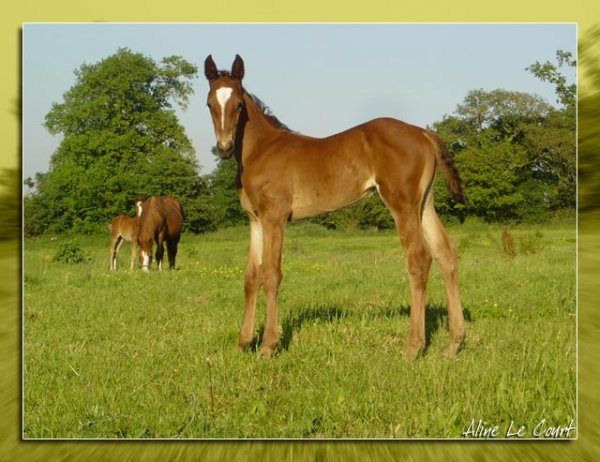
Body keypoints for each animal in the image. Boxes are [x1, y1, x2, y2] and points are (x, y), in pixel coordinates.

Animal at [204, 53, 466, 358]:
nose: (224, 147)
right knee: (445, 253)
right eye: (209, 104)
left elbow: (271, 275)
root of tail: (424, 133)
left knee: (419, 259)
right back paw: (454, 343)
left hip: (403, 204)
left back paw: (413, 348)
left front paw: (268, 345)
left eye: (238, 104)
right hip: (424, 203)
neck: (261, 150)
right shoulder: (254, 220)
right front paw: (244, 341)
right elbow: (250, 277)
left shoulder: (275, 218)